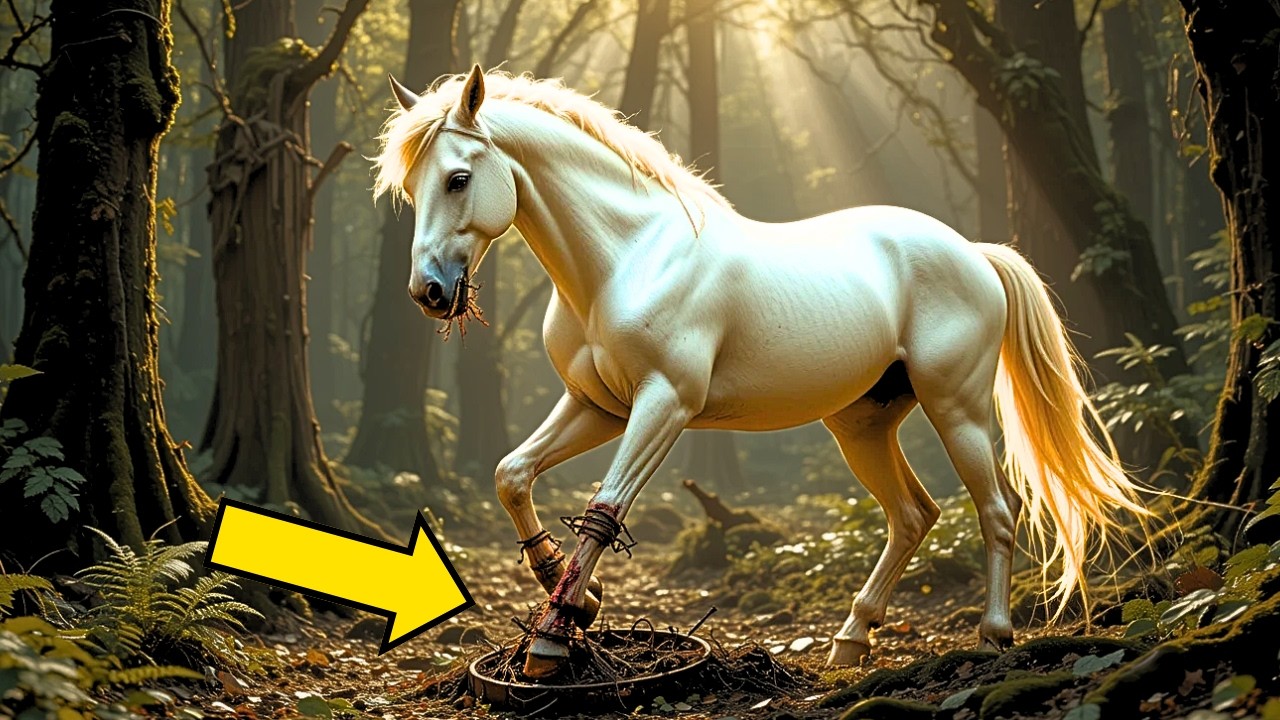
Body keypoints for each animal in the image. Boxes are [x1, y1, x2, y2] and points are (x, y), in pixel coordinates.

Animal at [372, 65, 1148, 677]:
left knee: (995, 511)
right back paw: (851, 639)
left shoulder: (663, 407)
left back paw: (992, 635)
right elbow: (513, 474)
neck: (628, 257)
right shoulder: (598, 406)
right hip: (862, 423)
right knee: (913, 515)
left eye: (459, 178)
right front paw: (576, 596)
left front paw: (555, 638)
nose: (428, 291)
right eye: (412, 184)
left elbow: (605, 509)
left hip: (956, 408)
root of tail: (975, 253)